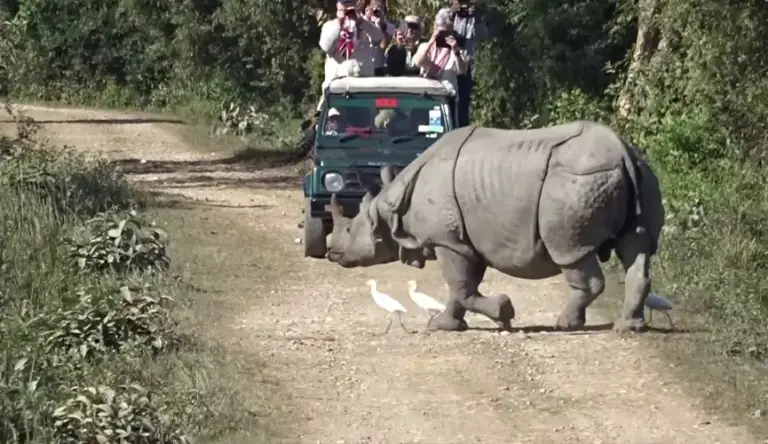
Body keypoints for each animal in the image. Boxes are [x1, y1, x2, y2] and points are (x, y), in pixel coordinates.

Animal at [326, 121, 665, 333]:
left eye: (349, 231)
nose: (332, 252)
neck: (391, 206)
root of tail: (622, 150)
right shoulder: (464, 242)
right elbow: (462, 288)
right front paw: (447, 325)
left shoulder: (448, 240)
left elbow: (461, 287)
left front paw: (504, 313)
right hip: (640, 172)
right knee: (637, 246)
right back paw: (628, 327)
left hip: (577, 182)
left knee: (570, 252)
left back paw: (565, 324)